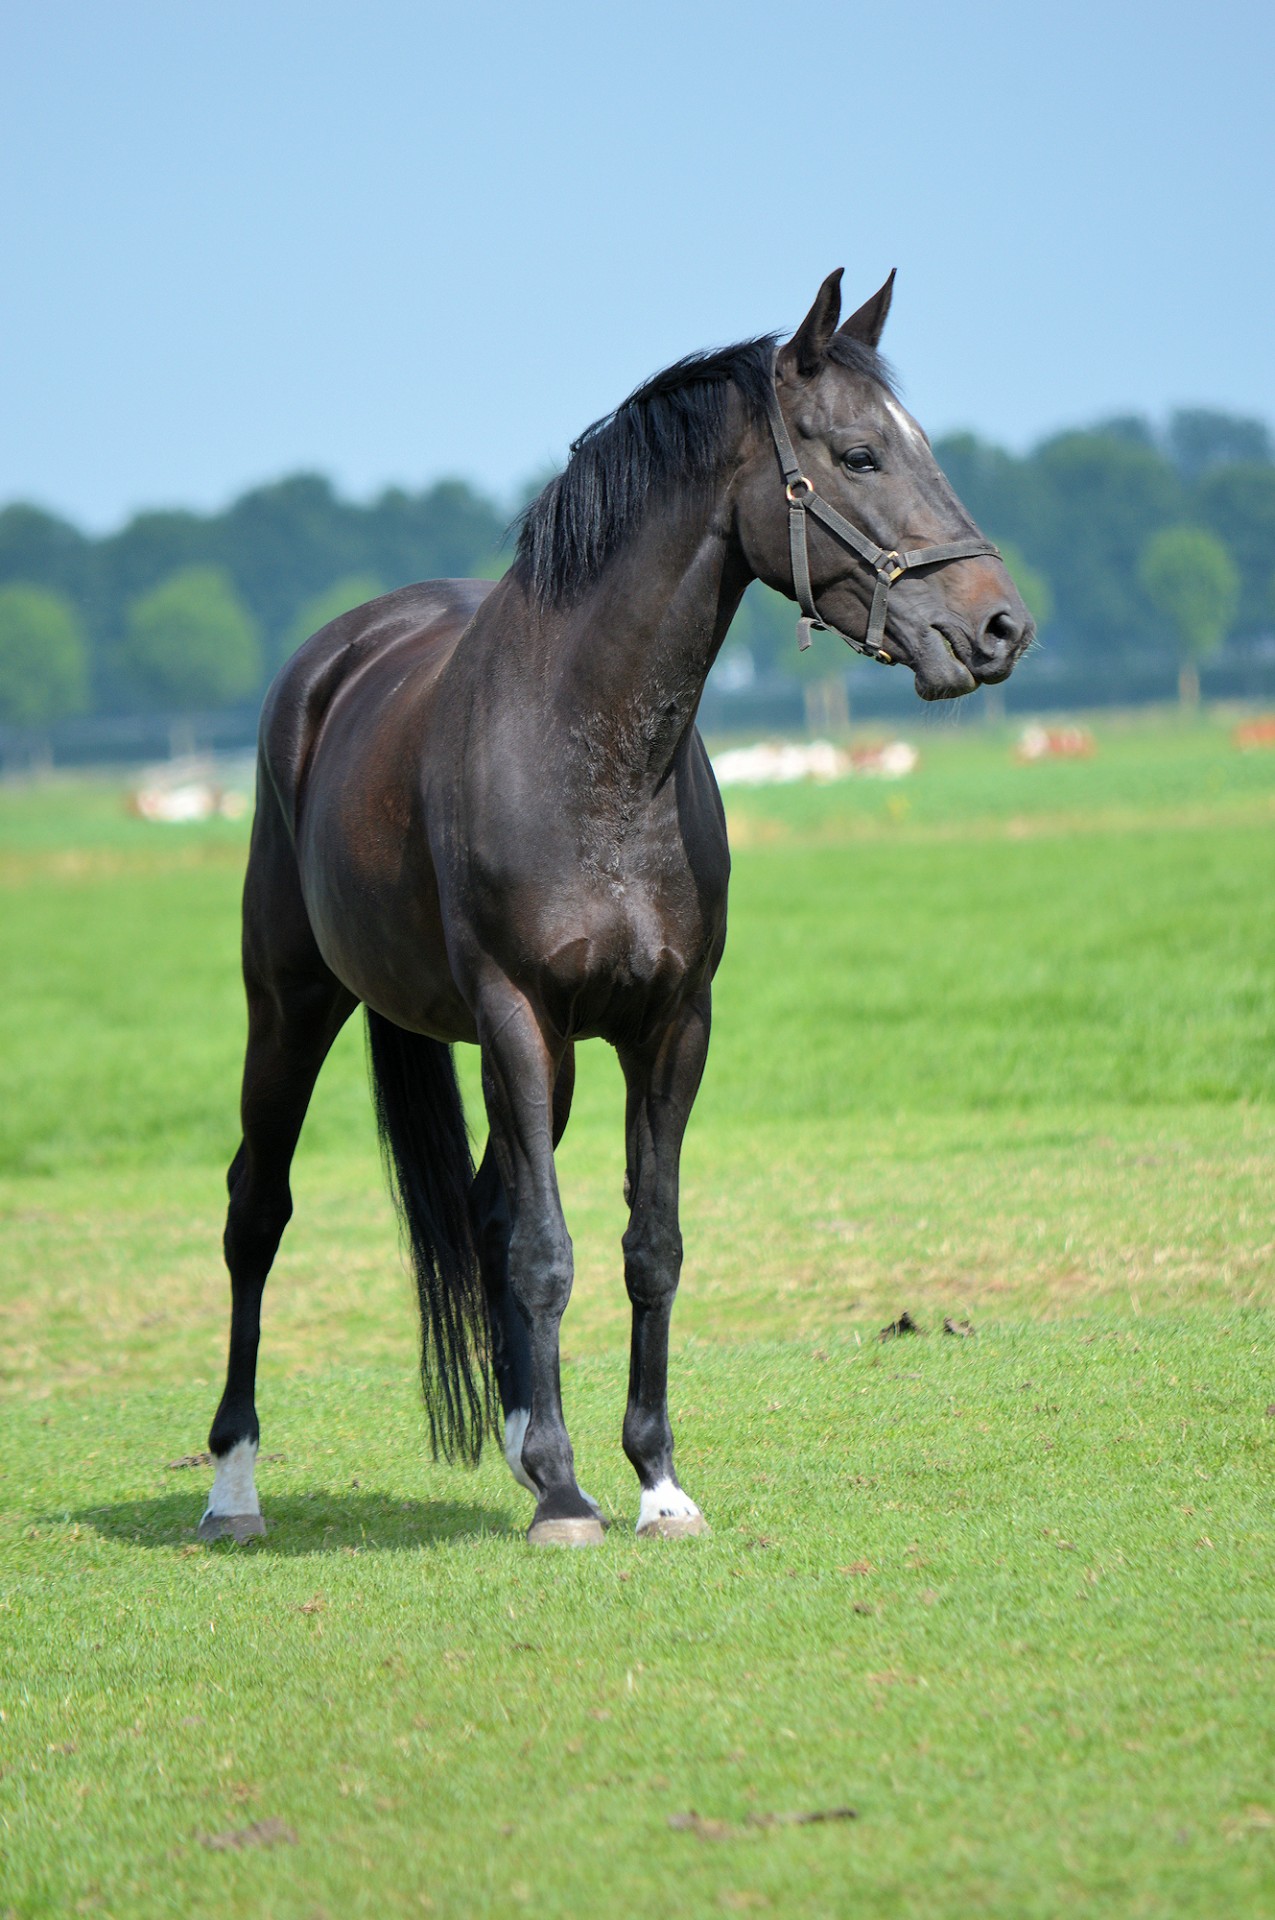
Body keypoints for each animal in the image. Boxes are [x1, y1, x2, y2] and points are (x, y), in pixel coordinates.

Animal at [199, 269, 1033, 1547]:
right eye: (858, 455)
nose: (1000, 627)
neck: (591, 750)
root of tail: (335, 661)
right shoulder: (517, 1015)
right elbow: (550, 1251)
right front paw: (565, 1498)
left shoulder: (670, 1027)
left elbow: (650, 1246)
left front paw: (650, 1480)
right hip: (294, 1003)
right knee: (261, 1211)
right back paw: (235, 1484)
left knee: (485, 1211)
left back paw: (522, 1440)